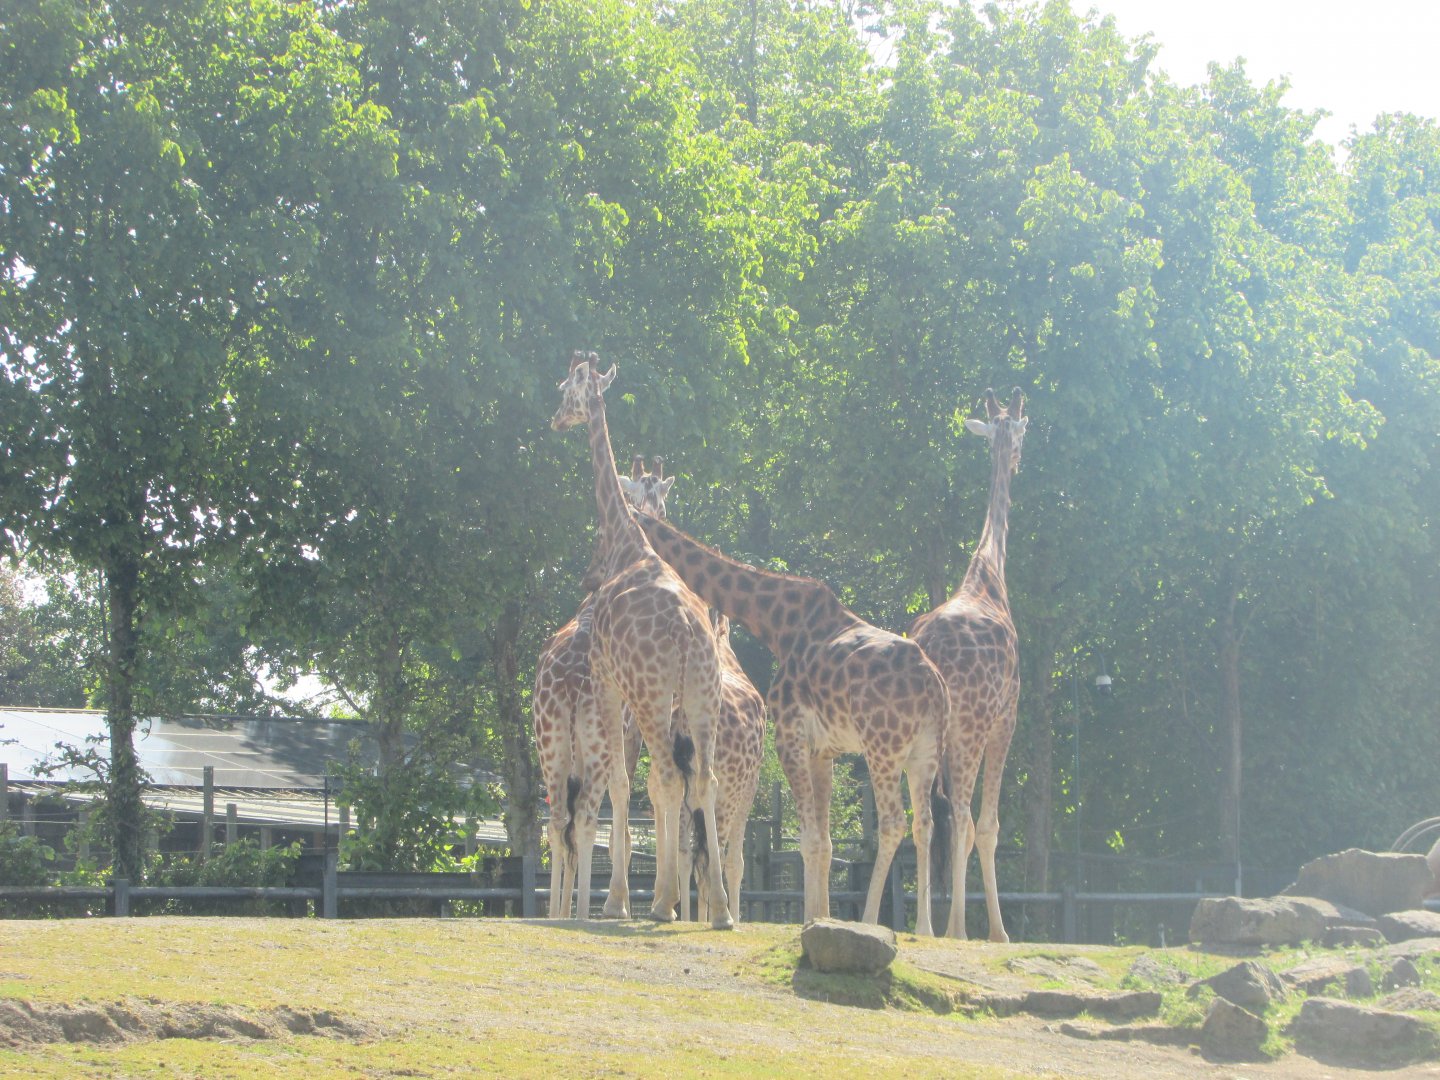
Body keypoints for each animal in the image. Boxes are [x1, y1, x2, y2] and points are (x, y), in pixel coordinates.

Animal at [532, 456, 674, 920]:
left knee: (559, 820)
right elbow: (631, 800)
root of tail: (570, 680)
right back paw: (583, 913)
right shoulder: (631, 732)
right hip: (594, 740)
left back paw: (557, 914)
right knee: (587, 817)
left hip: (551, 740)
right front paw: (626, 901)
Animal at [551, 351, 733, 929]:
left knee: (668, 782)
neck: (628, 543)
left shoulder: (608, 682)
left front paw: (615, 902)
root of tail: (688, 632)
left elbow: (619, 788)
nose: (556, 419)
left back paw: (655, 904)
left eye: (565, 388)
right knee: (705, 782)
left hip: (652, 698)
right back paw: (720, 911)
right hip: (700, 696)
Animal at [632, 510, 950, 935]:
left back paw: (869, 920)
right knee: (924, 825)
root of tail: (935, 687)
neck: (777, 624)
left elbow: (807, 840)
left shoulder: (790, 737)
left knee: (894, 823)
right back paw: (925, 930)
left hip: (882, 747)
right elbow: (824, 842)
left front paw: (815, 919)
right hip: (925, 753)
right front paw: (820, 916)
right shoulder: (823, 750)